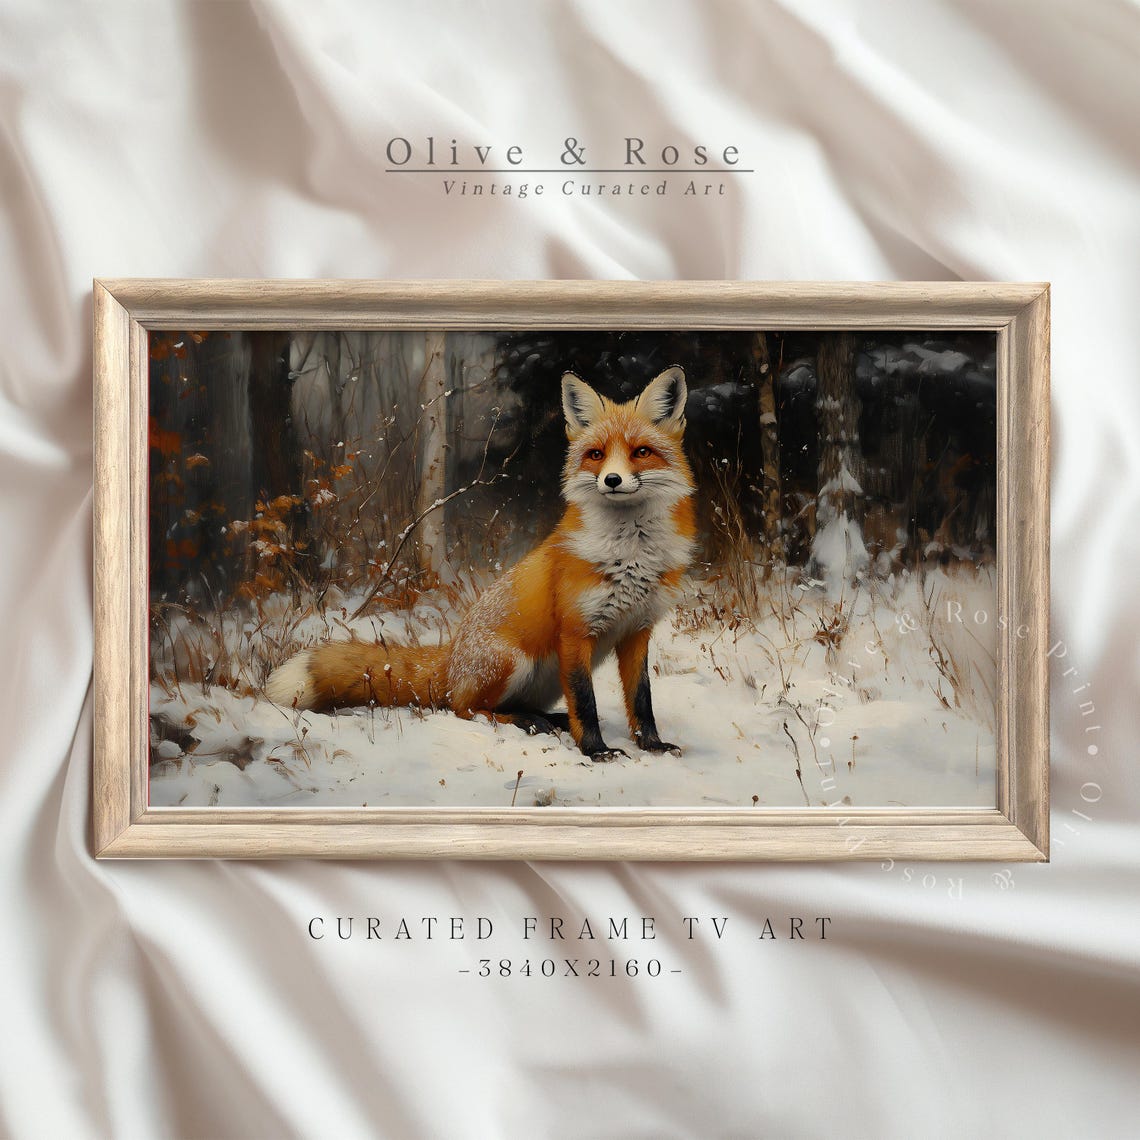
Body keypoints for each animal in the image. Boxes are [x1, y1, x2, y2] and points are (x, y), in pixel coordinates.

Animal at [265, 366, 697, 761]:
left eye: (641, 452)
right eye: (596, 455)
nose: (611, 480)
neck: (630, 555)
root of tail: (450, 659)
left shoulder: (637, 630)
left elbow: (641, 699)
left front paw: (652, 745)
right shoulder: (575, 632)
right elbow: (585, 702)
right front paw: (595, 751)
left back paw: (547, 719)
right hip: (511, 662)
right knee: (466, 709)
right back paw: (525, 723)